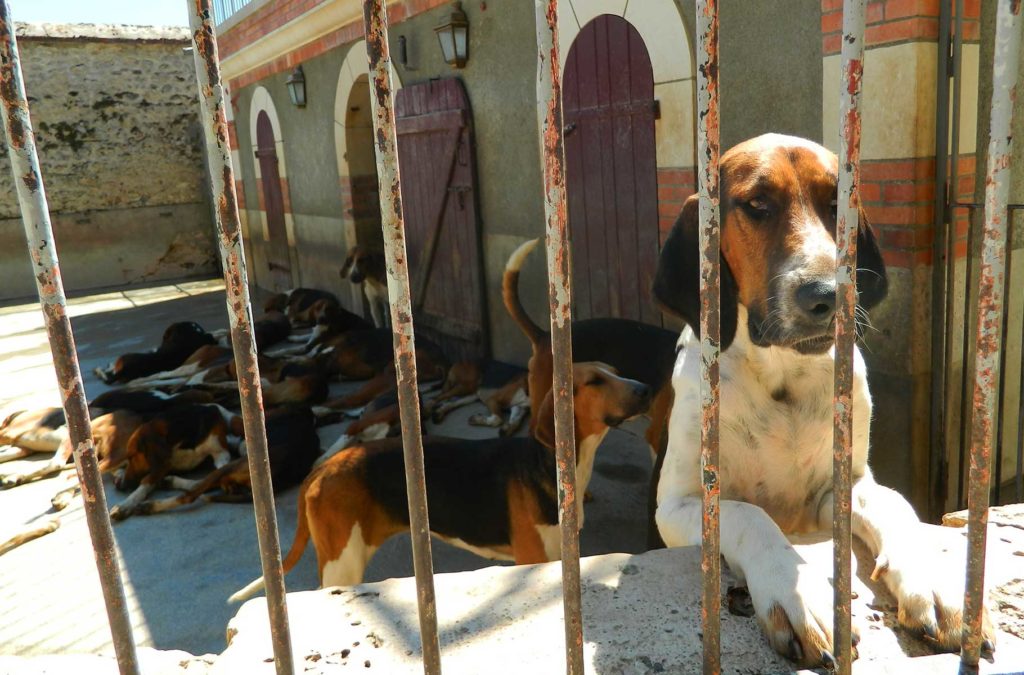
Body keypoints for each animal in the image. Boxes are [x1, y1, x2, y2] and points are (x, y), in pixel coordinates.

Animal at [230, 362, 647, 598]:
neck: (551, 465)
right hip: (342, 564)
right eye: (594, 381)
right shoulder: (533, 559)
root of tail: (323, 469)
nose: (645, 388)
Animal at [651, 134, 995, 667]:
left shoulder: (844, 486)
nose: (829, 296)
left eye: (838, 205)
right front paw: (798, 595)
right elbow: (750, 515)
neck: (781, 378)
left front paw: (938, 584)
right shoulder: (678, 504)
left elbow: (897, 508)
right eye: (757, 205)